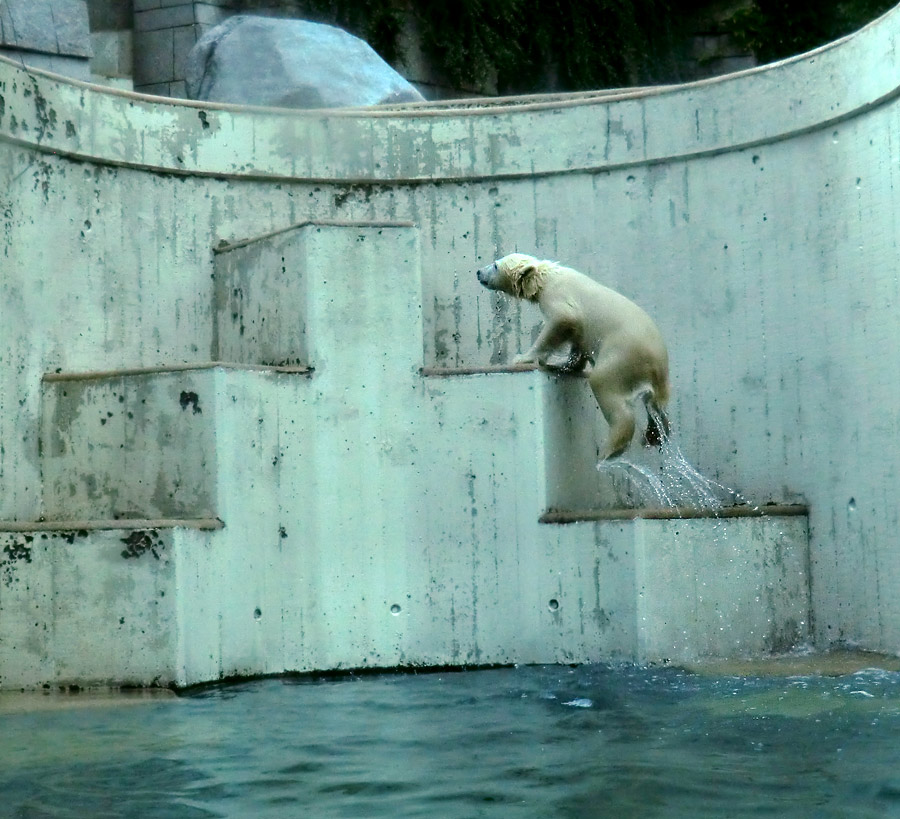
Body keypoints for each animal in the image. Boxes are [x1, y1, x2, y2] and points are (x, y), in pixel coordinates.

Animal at [478, 255, 668, 462]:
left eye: (495, 265)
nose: (478, 272)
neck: (545, 278)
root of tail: (656, 364)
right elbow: (577, 341)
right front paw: (565, 364)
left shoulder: (557, 296)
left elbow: (563, 319)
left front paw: (523, 358)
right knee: (657, 406)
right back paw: (655, 435)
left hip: (622, 355)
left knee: (606, 387)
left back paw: (610, 451)